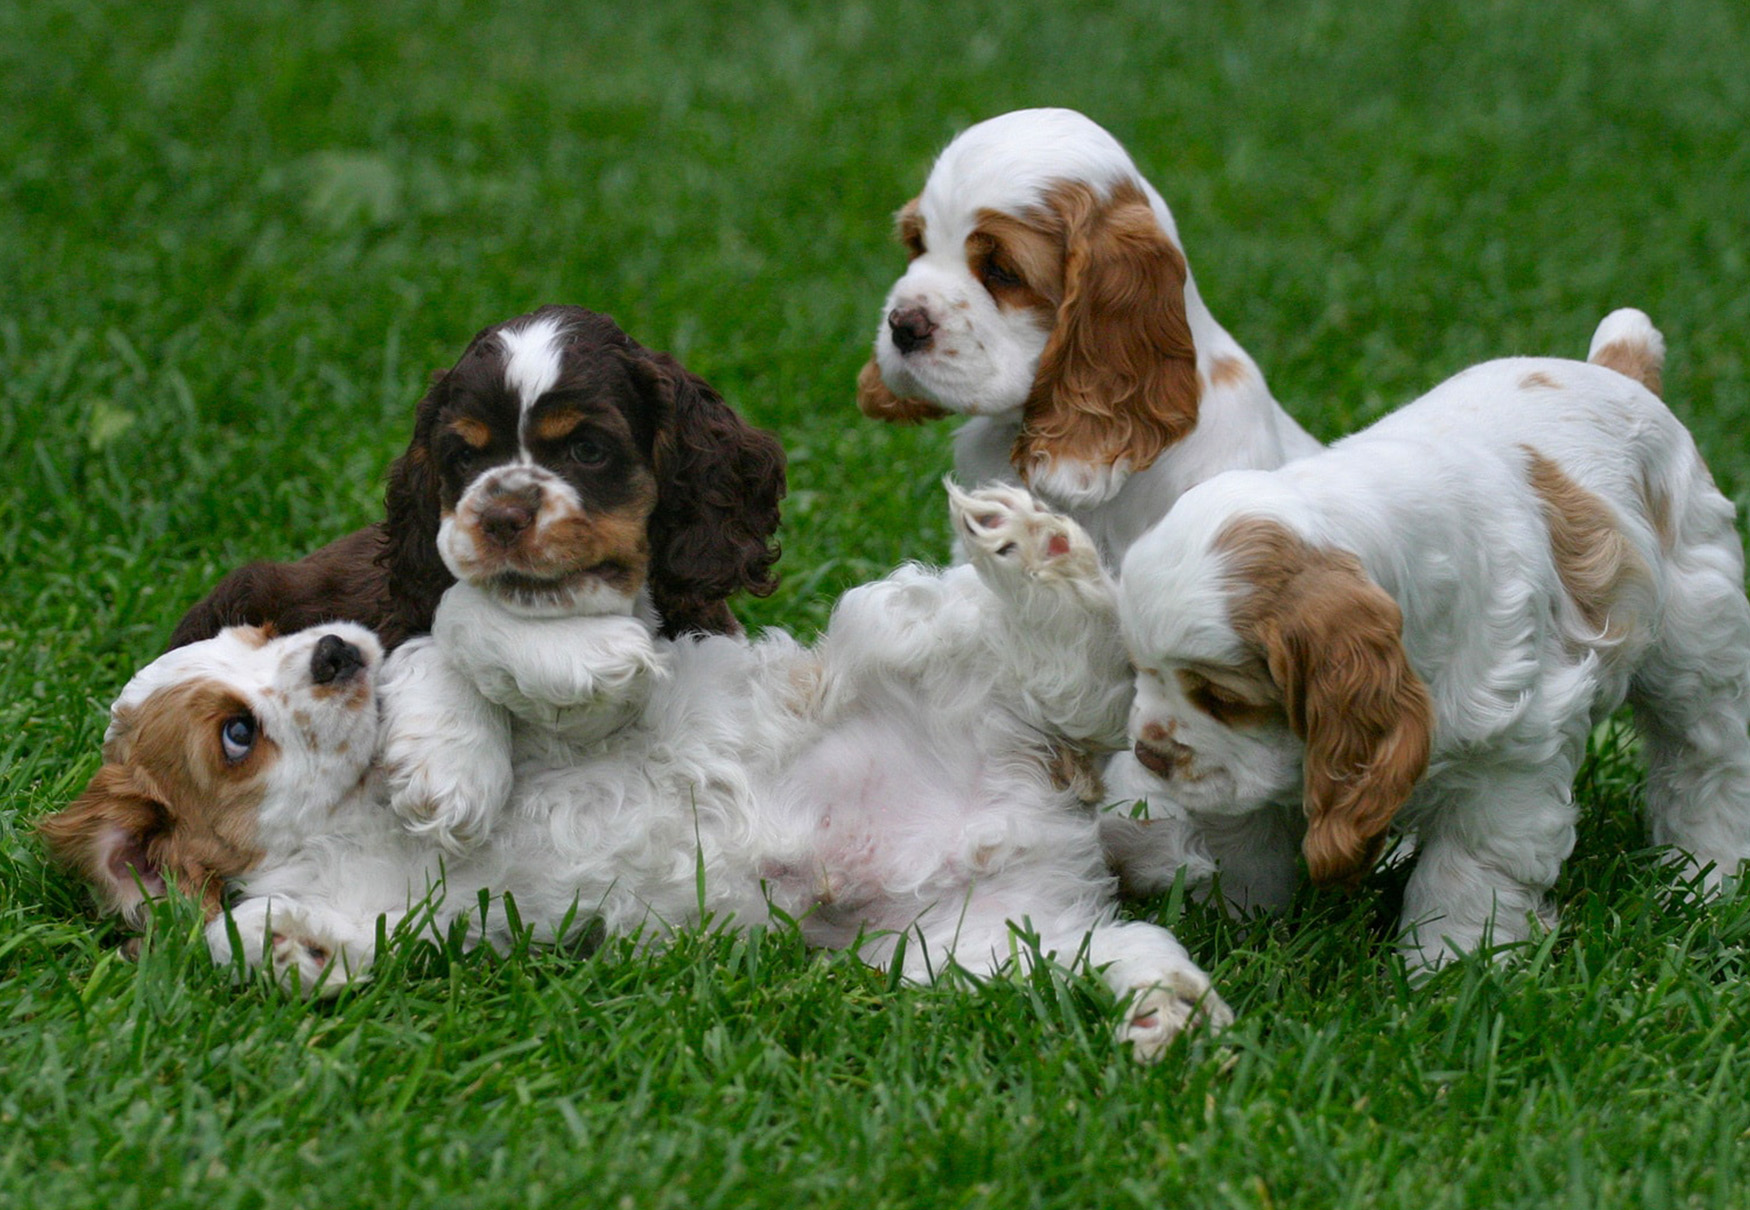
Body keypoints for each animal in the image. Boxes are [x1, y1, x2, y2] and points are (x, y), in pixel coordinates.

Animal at [37, 486, 1218, 1064]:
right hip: (960, 949)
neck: (355, 814)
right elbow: (304, 936)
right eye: (236, 735)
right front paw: (275, 946)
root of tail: (1040, 804)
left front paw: (554, 668)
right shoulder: (381, 904)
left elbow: (464, 639)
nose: (335, 651)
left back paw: (1031, 546)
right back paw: (1167, 1014)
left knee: (1075, 663)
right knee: (1117, 946)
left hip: (914, 647)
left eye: (264, 631)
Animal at [1106, 308, 1750, 973]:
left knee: (1707, 763)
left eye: (1222, 698)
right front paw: (1238, 930)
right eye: (1138, 672)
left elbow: (1468, 872)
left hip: (1697, 642)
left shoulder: (1510, 757)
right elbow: (1245, 838)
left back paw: (1701, 876)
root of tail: (1617, 367)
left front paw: (1448, 965)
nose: (1149, 753)